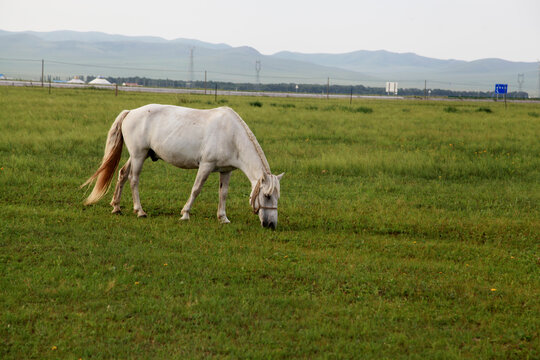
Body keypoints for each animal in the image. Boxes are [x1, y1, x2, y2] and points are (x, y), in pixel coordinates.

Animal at [82, 104, 284, 229]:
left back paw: (116, 207)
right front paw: (185, 214)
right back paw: (140, 211)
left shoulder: (226, 171)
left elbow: (223, 194)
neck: (231, 134)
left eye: (277, 197)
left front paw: (223, 218)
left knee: (123, 174)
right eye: (266, 196)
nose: (271, 225)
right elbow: (196, 189)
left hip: (138, 155)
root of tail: (130, 112)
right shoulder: (206, 166)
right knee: (134, 180)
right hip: (139, 155)